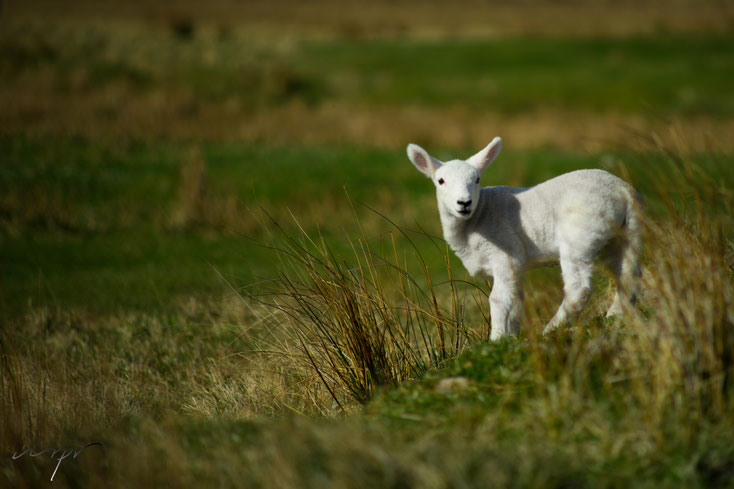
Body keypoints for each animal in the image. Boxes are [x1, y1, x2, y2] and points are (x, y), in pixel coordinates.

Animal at [407, 137, 641, 340]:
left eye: (477, 179)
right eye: (441, 181)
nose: (464, 203)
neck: (479, 216)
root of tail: (623, 191)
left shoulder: (505, 255)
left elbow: (499, 299)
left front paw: (496, 340)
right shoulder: (514, 267)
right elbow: (516, 300)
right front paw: (511, 337)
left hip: (581, 235)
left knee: (579, 288)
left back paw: (550, 330)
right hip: (623, 235)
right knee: (629, 277)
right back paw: (613, 317)